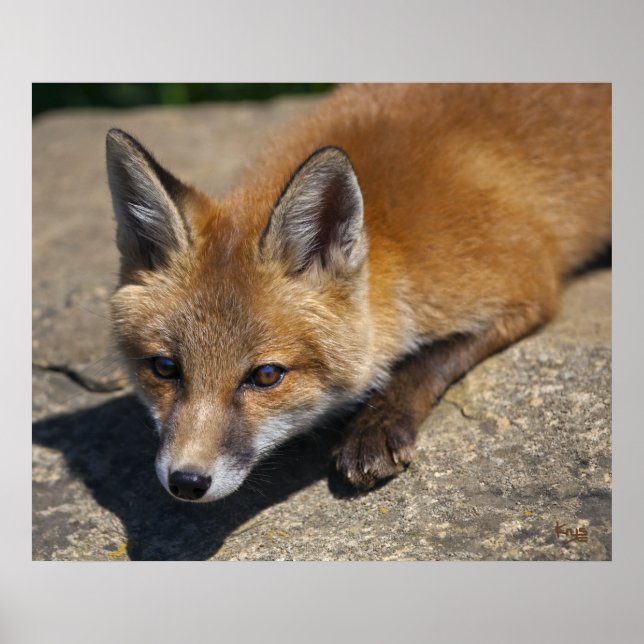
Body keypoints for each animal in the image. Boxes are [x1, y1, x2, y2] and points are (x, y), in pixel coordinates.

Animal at [106, 84, 611, 503]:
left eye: (267, 376)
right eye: (164, 368)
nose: (187, 482)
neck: (397, 246)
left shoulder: (526, 283)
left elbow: (426, 359)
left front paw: (377, 425)